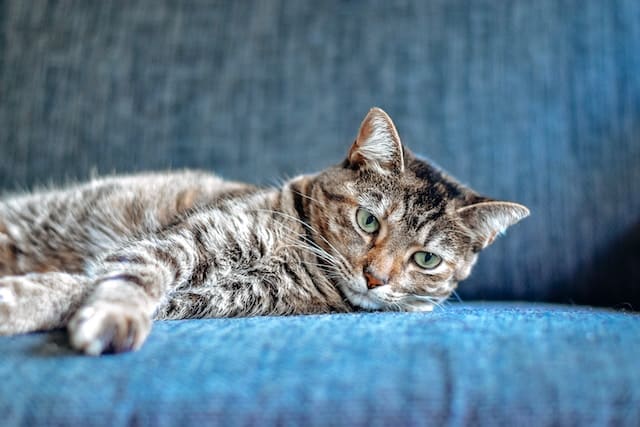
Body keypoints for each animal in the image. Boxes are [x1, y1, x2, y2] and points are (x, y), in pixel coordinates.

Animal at [0, 108, 528, 356]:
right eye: (368, 221)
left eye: (426, 259)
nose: (375, 278)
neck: (298, 257)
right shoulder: (181, 242)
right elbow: (132, 276)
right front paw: (113, 315)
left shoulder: (214, 300)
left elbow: (81, 286)